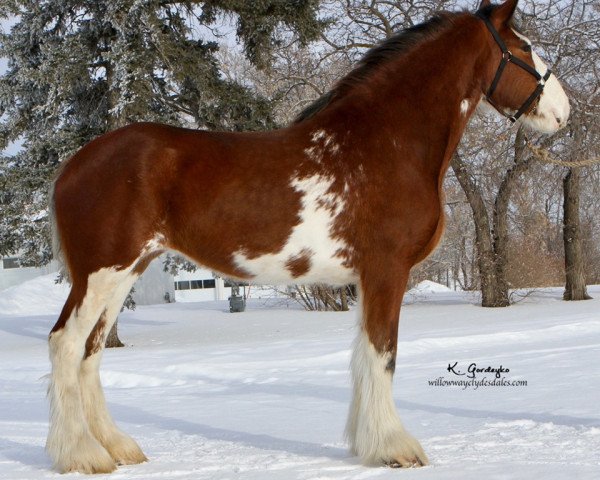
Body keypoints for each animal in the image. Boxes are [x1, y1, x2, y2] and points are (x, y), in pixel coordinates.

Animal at [45, 0, 568, 472]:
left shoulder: (366, 279)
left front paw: (365, 444)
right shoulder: (387, 270)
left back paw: (118, 448)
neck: (385, 143)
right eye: (524, 49)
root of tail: (74, 165)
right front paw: (394, 448)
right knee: (66, 344)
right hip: (102, 272)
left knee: (91, 351)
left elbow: (363, 357)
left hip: (124, 273)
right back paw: (82, 455)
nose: (565, 110)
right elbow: (384, 355)